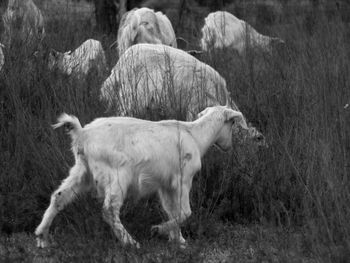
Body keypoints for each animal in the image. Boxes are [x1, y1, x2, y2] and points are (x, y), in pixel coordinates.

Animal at [34, 104, 243, 250]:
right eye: (232, 123)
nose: (229, 146)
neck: (196, 136)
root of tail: (82, 134)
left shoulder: (166, 185)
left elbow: (172, 210)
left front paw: (178, 240)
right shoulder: (183, 179)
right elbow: (185, 212)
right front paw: (159, 230)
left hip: (82, 171)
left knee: (59, 197)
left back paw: (42, 237)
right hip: (117, 174)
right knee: (109, 210)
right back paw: (131, 243)